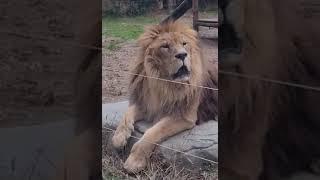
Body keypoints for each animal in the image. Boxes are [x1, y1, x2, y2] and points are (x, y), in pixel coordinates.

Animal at [111, 21, 219, 173]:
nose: (182, 55)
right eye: (165, 46)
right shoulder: (148, 103)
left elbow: (153, 132)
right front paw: (118, 138)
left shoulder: (184, 116)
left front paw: (134, 161)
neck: (163, 83)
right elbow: (127, 115)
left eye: (184, 44)